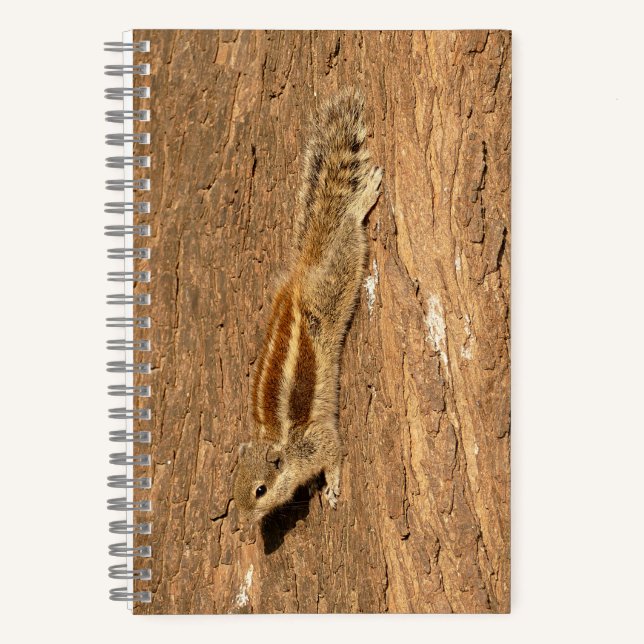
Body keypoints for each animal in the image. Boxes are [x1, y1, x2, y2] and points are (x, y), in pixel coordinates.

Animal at [233, 87, 383, 525]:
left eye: (260, 490)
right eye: (233, 491)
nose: (241, 523)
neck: (278, 442)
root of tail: (303, 271)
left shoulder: (318, 441)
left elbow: (335, 452)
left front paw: (331, 487)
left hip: (336, 281)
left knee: (347, 232)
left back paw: (362, 201)